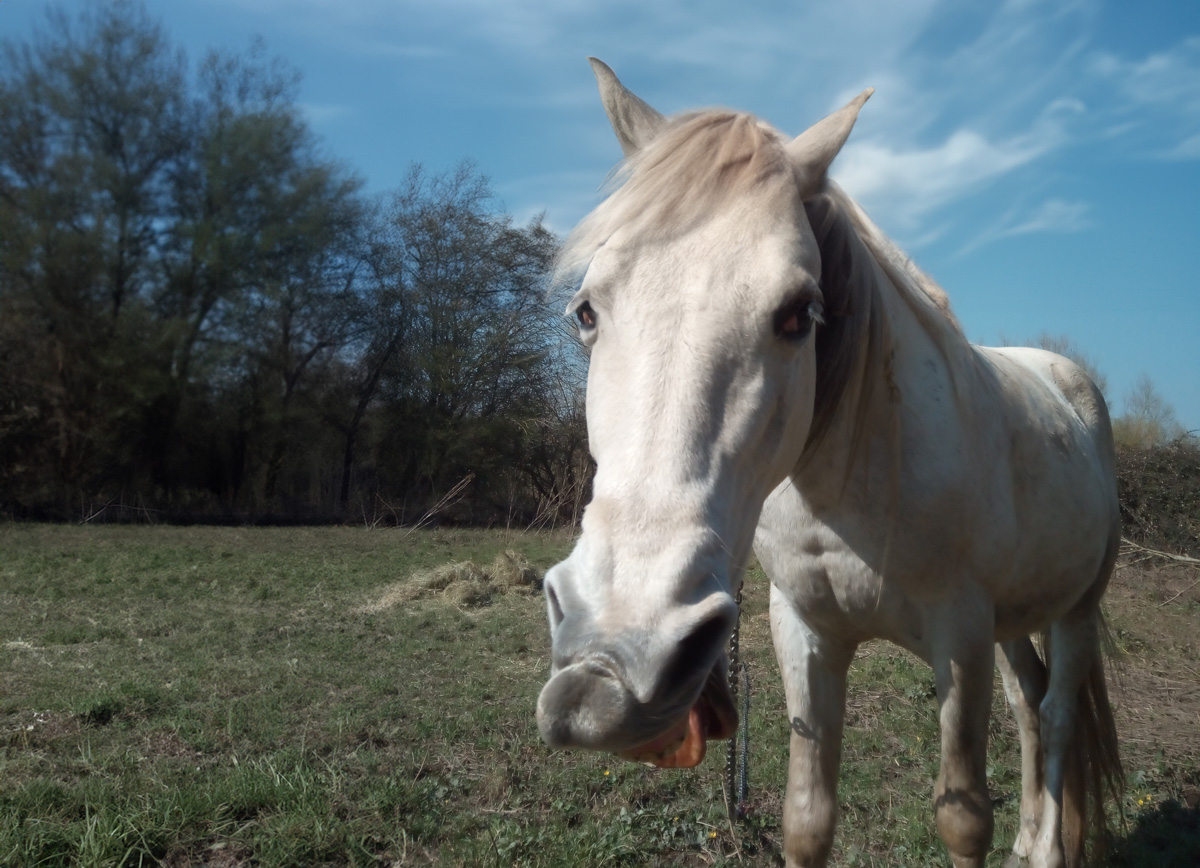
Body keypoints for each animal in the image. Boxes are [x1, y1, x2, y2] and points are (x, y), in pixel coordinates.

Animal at [536, 59, 1123, 868]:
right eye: (587, 311)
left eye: (798, 314)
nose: (613, 664)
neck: (863, 478)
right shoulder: (805, 630)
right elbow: (808, 818)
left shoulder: (961, 638)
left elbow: (963, 818)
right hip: (1016, 619)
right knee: (1030, 706)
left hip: (1076, 610)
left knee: (1060, 714)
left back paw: (1047, 851)